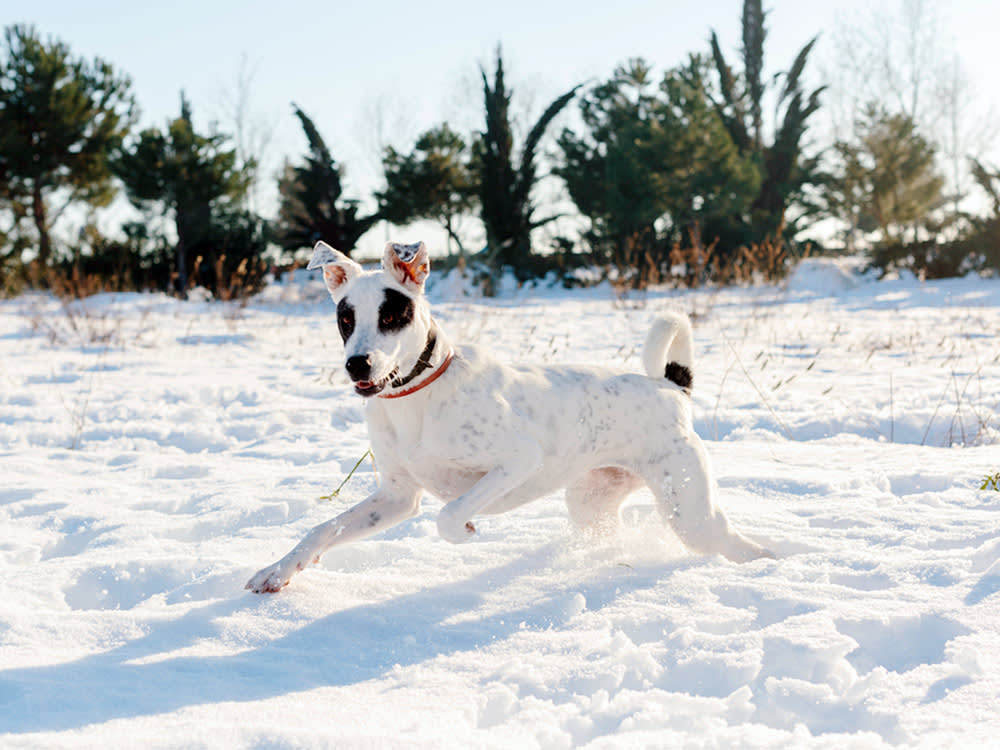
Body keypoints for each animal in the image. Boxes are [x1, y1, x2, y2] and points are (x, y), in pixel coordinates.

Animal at [244, 241, 772, 592]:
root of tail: (670, 387)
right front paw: (278, 570)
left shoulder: (517, 459)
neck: (418, 398)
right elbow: (323, 529)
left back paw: (774, 566)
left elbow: (450, 513)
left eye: (392, 316)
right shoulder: (396, 497)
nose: (358, 364)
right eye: (345, 318)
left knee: (742, 546)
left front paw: (466, 531)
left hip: (690, 511)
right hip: (592, 503)